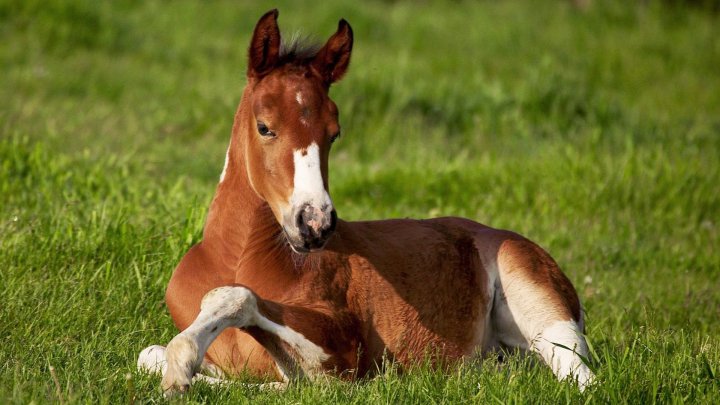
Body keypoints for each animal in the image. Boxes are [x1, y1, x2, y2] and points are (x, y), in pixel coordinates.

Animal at [139, 9, 596, 392]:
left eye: (334, 133)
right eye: (264, 126)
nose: (315, 223)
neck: (237, 258)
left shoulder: (344, 350)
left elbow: (241, 305)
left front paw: (182, 366)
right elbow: (148, 355)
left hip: (541, 305)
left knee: (583, 378)